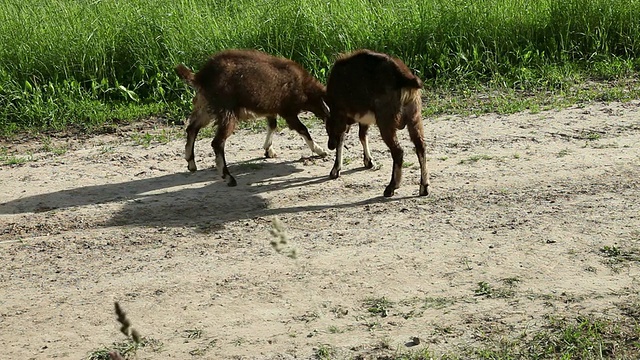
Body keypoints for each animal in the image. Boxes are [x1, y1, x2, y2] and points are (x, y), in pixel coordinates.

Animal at [175, 48, 328, 186]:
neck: (303, 86)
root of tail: (201, 77)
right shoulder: (288, 111)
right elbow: (303, 129)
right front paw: (320, 151)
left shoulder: (271, 107)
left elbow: (272, 125)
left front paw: (268, 150)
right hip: (225, 110)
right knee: (217, 142)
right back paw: (228, 177)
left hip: (206, 106)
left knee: (192, 128)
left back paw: (191, 163)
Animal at [324, 48, 430, 197]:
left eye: (328, 128)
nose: (329, 145)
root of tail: (404, 78)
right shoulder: (362, 118)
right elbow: (362, 135)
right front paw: (368, 161)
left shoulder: (342, 115)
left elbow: (342, 139)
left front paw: (335, 170)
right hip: (414, 116)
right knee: (421, 146)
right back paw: (424, 187)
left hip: (385, 120)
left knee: (398, 151)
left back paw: (391, 187)